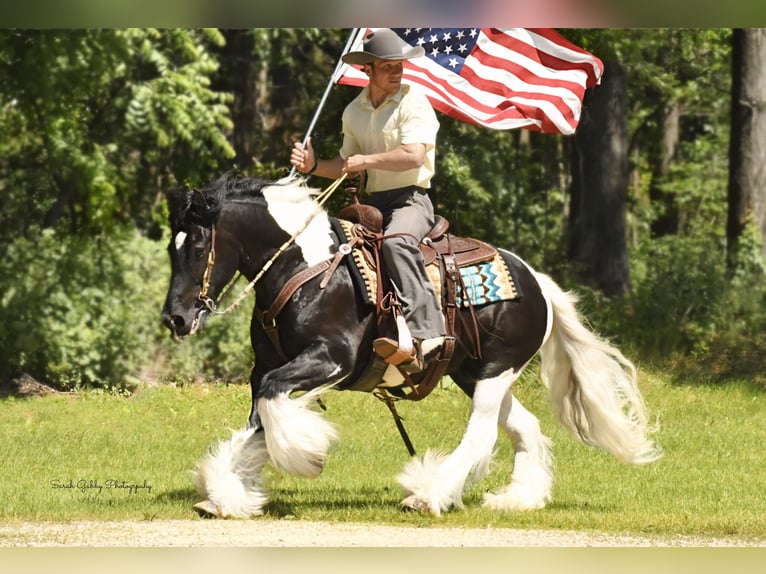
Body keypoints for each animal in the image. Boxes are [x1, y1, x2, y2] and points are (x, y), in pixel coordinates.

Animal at [160, 173, 660, 520]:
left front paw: (306, 454)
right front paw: (226, 494)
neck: (306, 268)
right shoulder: (266, 368)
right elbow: (261, 418)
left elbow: (272, 410)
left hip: (496, 371)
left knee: (481, 434)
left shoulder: (328, 360)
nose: (175, 318)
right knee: (526, 427)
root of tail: (537, 280)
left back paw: (428, 494)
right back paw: (519, 498)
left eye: (199, 245)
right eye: (171, 247)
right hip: (475, 373)